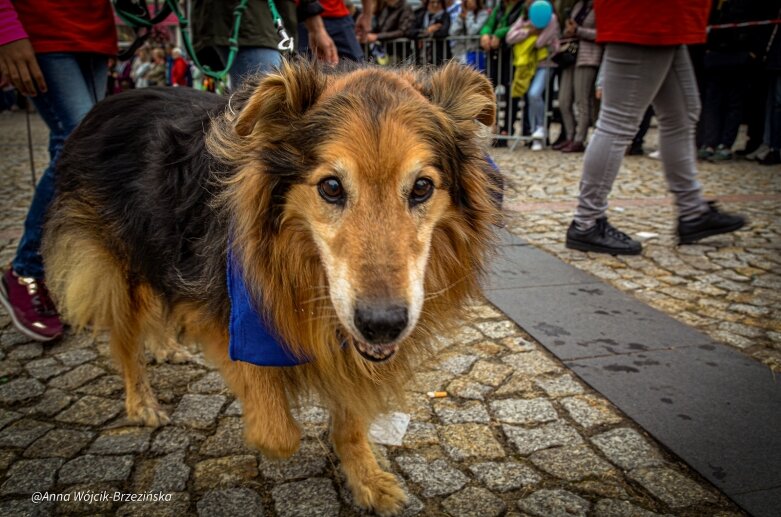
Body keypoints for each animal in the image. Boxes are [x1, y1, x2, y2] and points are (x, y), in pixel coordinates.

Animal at [44, 59, 500, 512]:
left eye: (422, 187)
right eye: (331, 187)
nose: (382, 325)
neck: (298, 264)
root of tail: (107, 102)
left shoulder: (351, 350)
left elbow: (350, 416)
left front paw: (366, 479)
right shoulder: (230, 320)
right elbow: (278, 433)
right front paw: (272, 434)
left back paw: (165, 347)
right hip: (122, 272)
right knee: (124, 341)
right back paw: (141, 403)